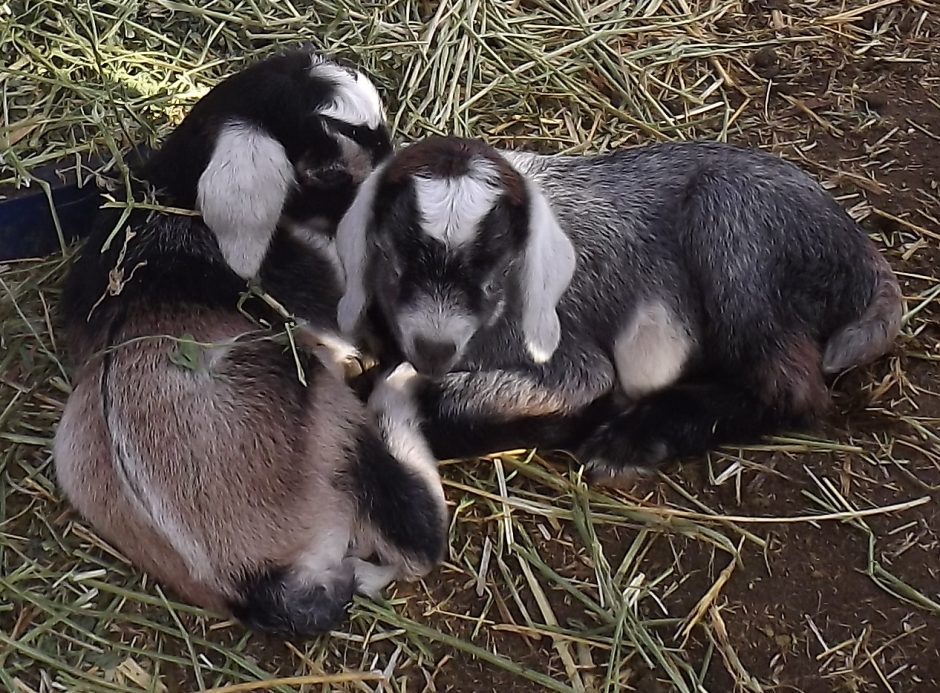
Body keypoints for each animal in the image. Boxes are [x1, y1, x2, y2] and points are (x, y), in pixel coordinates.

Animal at [333, 135, 903, 479]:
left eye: (492, 275)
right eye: (395, 262)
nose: (434, 347)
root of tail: (861, 255)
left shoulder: (567, 358)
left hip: (735, 228)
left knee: (789, 386)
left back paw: (631, 440)